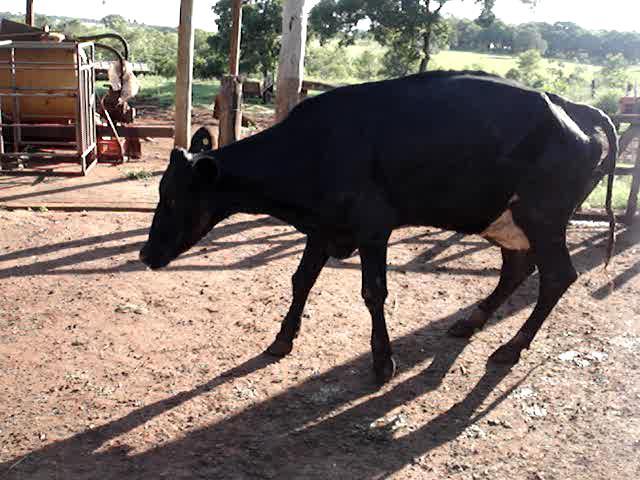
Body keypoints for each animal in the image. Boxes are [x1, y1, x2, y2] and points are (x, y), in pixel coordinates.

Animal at [139, 71, 616, 384]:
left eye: (175, 198)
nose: (145, 254)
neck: (317, 147)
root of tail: (578, 109)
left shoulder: (372, 228)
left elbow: (373, 293)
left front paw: (383, 361)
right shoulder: (323, 228)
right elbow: (301, 280)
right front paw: (281, 340)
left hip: (544, 217)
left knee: (557, 276)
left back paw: (511, 347)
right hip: (507, 219)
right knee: (518, 269)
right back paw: (471, 322)